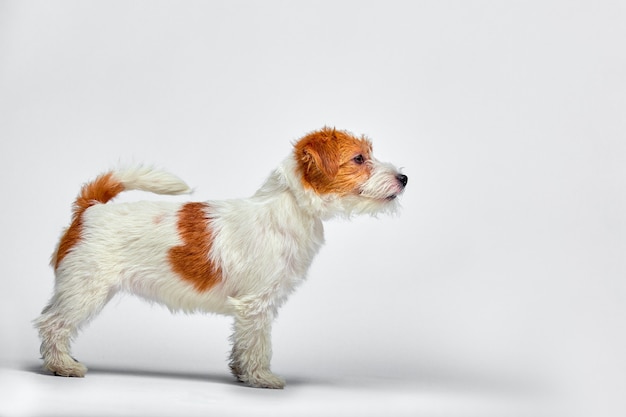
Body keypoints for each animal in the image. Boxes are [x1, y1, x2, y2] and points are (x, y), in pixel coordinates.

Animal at [35, 126, 404, 386]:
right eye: (359, 159)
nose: (404, 177)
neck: (289, 207)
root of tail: (91, 208)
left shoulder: (254, 308)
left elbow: (243, 343)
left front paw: (242, 373)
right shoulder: (256, 304)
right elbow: (258, 344)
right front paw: (261, 378)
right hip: (84, 290)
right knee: (52, 324)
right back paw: (62, 366)